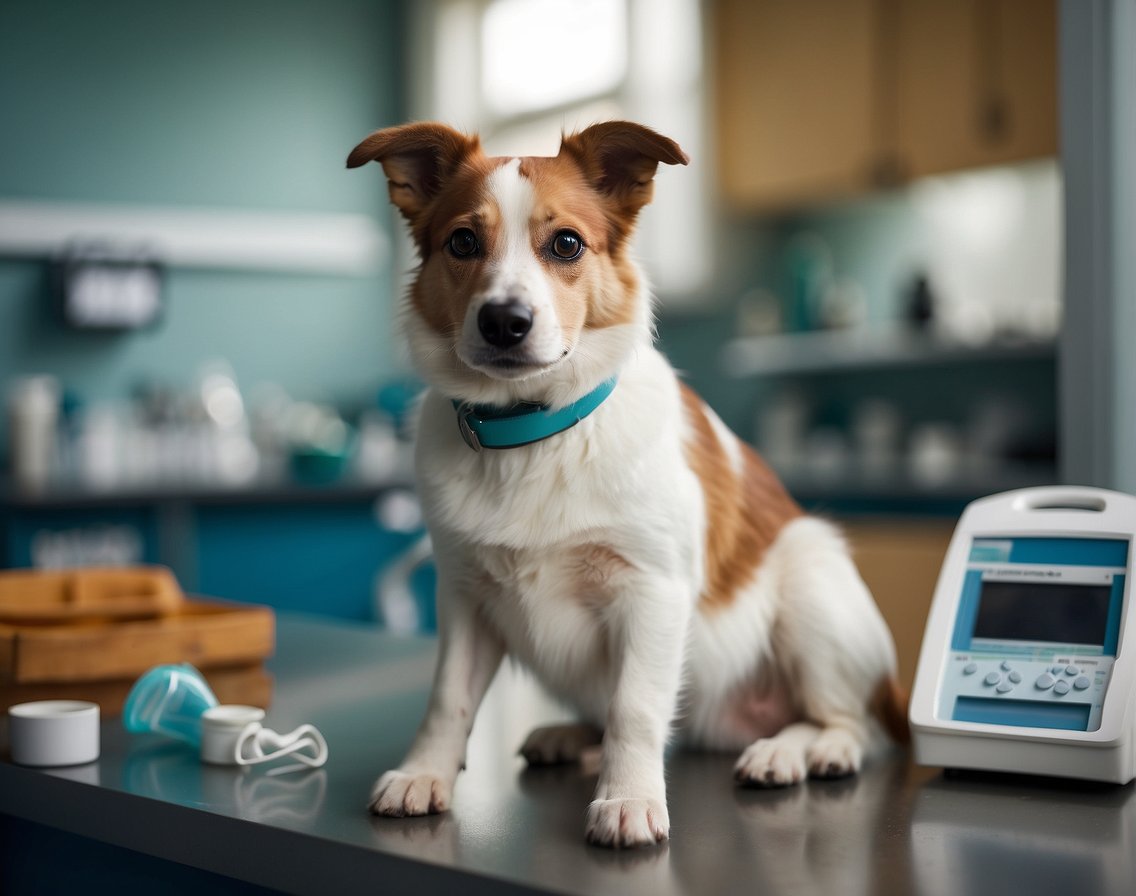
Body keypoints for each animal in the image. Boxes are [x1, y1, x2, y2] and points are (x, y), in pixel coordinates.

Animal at [345, 118, 904, 844]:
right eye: (463, 242)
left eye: (566, 243)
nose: (505, 322)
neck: (536, 434)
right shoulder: (464, 597)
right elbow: (448, 699)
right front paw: (424, 774)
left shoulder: (652, 593)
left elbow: (634, 708)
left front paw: (629, 798)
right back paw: (572, 737)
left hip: (810, 578)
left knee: (852, 723)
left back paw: (797, 750)